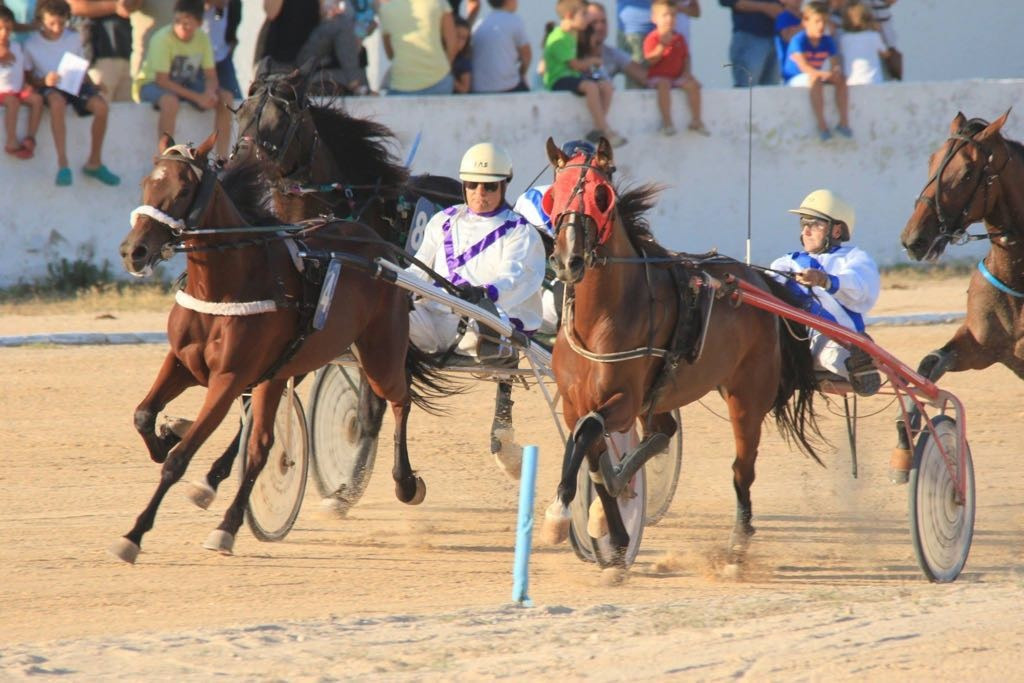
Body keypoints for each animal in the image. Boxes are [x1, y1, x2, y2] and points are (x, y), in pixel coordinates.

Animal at [110, 132, 450, 561]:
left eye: (184, 188)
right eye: (146, 183)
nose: (133, 251)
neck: (228, 283)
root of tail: (381, 249)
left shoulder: (228, 377)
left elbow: (178, 459)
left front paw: (133, 534)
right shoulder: (183, 363)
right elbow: (143, 416)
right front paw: (169, 432)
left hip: (380, 353)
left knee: (397, 401)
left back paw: (404, 483)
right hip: (292, 365)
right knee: (261, 443)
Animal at [540, 139, 819, 565]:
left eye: (601, 196)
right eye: (553, 195)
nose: (567, 260)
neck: (601, 316)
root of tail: (756, 280)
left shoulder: (622, 401)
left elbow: (587, 436)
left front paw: (561, 515)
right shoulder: (576, 401)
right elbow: (590, 455)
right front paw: (616, 538)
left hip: (747, 395)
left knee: (742, 468)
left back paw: (738, 542)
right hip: (662, 397)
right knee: (664, 431)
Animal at [897, 112, 1024, 456]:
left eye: (967, 172)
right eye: (932, 160)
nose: (914, 238)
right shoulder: (983, 346)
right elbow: (931, 363)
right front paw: (907, 431)